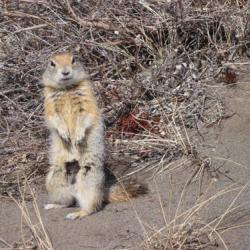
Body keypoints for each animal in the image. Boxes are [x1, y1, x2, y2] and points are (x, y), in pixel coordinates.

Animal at [42, 51, 146, 220]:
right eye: (52, 63)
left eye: (74, 59)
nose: (65, 72)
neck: (66, 89)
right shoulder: (49, 102)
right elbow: (53, 118)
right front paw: (65, 134)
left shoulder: (87, 98)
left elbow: (87, 115)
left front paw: (77, 136)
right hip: (55, 179)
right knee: (68, 200)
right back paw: (53, 205)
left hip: (88, 176)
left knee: (90, 205)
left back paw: (79, 213)